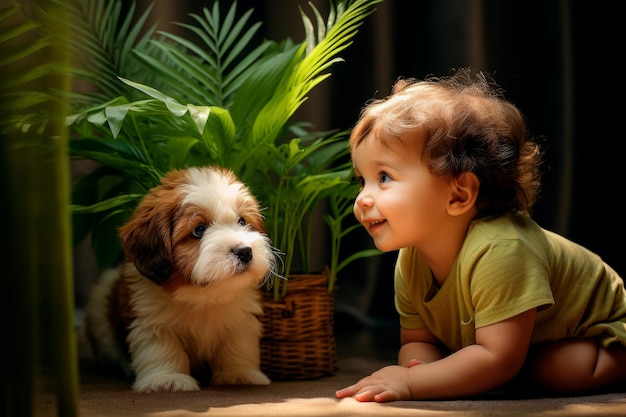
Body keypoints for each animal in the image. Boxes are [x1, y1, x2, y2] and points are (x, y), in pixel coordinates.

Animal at [84, 165, 274, 390]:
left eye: (242, 221)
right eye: (199, 230)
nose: (245, 251)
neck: (203, 297)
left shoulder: (240, 321)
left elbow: (238, 345)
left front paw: (239, 373)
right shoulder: (151, 319)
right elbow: (162, 347)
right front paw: (167, 379)